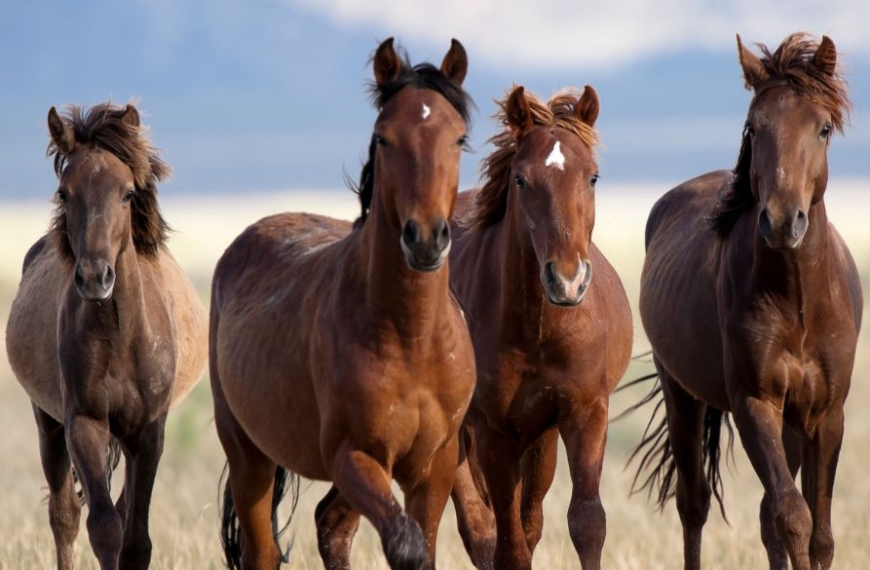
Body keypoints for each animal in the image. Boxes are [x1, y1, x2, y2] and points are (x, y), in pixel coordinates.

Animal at [5, 102, 208, 570]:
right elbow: (103, 528)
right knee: (64, 515)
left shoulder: (148, 433)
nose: (95, 278)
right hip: (48, 423)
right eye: (64, 193)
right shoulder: (84, 423)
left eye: (128, 193)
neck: (120, 337)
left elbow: (136, 538)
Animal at [210, 38, 476, 570]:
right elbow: (407, 546)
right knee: (264, 550)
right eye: (383, 138)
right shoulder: (353, 455)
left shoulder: (433, 466)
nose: (425, 240)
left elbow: (421, 545)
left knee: (330, 525)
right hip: (248, 455)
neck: (412, 338)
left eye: (458, 139)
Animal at [448, 86, 633, 570]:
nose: (567, 279)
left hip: (540, 439)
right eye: (520, 180)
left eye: (592, 177)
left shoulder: (584, 413)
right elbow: (507, 544)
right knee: (480, 528)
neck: (538, 329)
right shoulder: (493, 434)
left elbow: (586, 524)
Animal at [630, 33, 861, 570]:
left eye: (822, 128)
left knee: (762, 515)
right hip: (682, 394)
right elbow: (793, 517)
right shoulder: (755, 404)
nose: (781, 221)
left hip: (792, 420)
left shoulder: (826, 415)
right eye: (754, 128)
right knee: (694, 504)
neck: (799, 301)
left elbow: (818, 533)